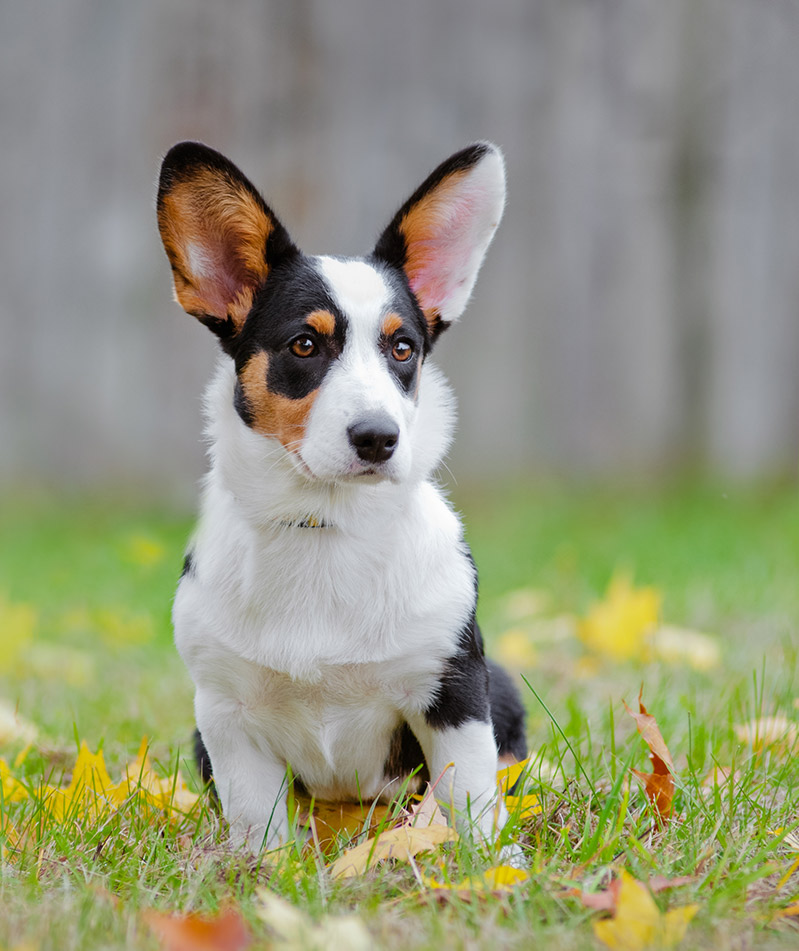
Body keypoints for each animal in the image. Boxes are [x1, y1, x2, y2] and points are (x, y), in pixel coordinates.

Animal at [159, 141, 528, 856]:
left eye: (403, 348)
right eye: (305, 344)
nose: (379, 438)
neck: (323, 524)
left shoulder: (454, 693)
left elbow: (469, 797)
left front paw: (495, 865)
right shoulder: (224, 714)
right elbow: (260, 823)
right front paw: (266, 869)